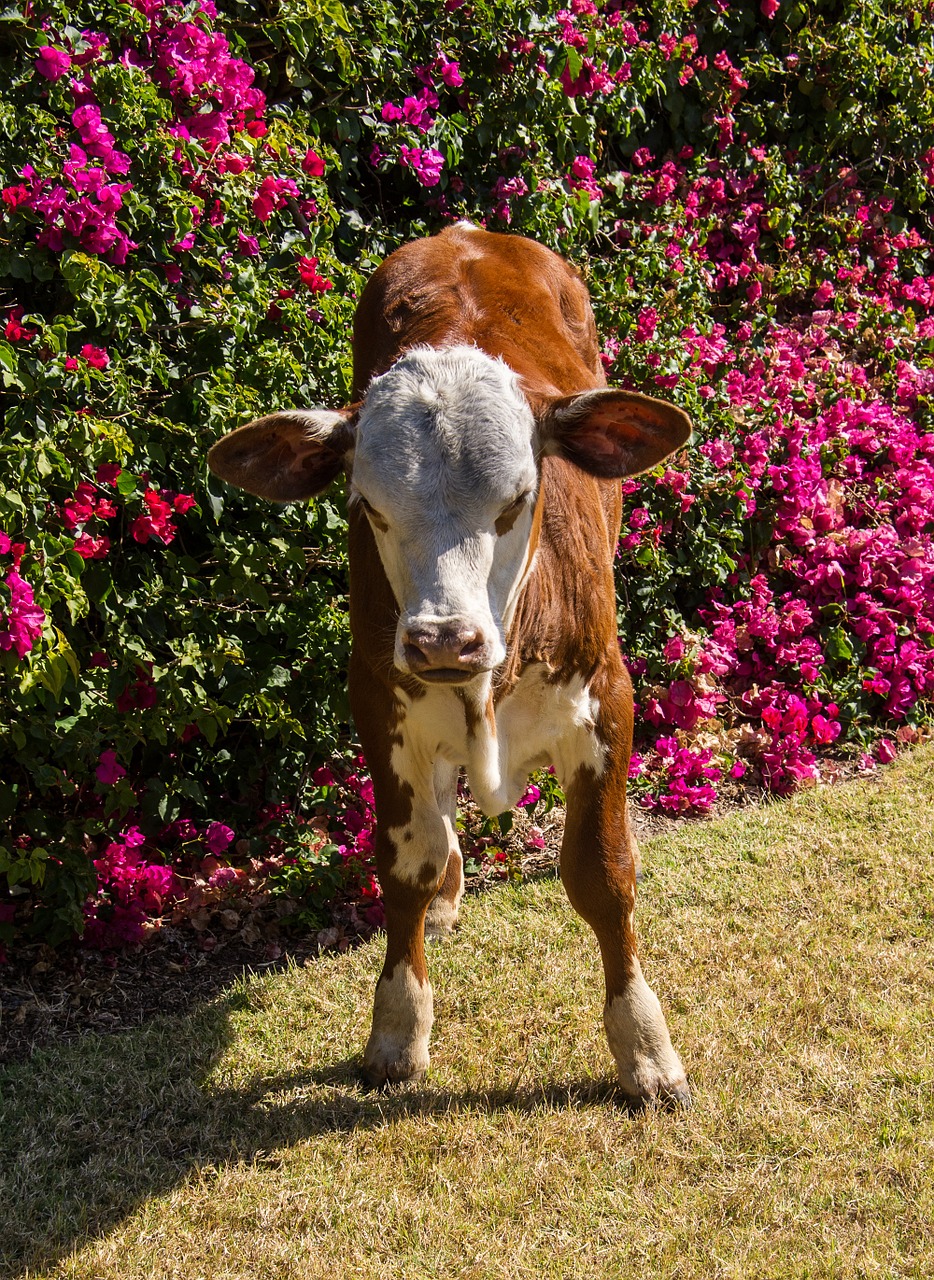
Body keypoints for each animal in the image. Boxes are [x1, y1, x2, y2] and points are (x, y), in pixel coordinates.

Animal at [209, 225, 690, 1105]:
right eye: (367, 506)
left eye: (519, 499)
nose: (442, 640)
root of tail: (466, 232)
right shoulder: (379, 700)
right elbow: (407, 862)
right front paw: (398, 1029)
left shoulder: (607, 699)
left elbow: (603, 874)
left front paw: (644, 1047)